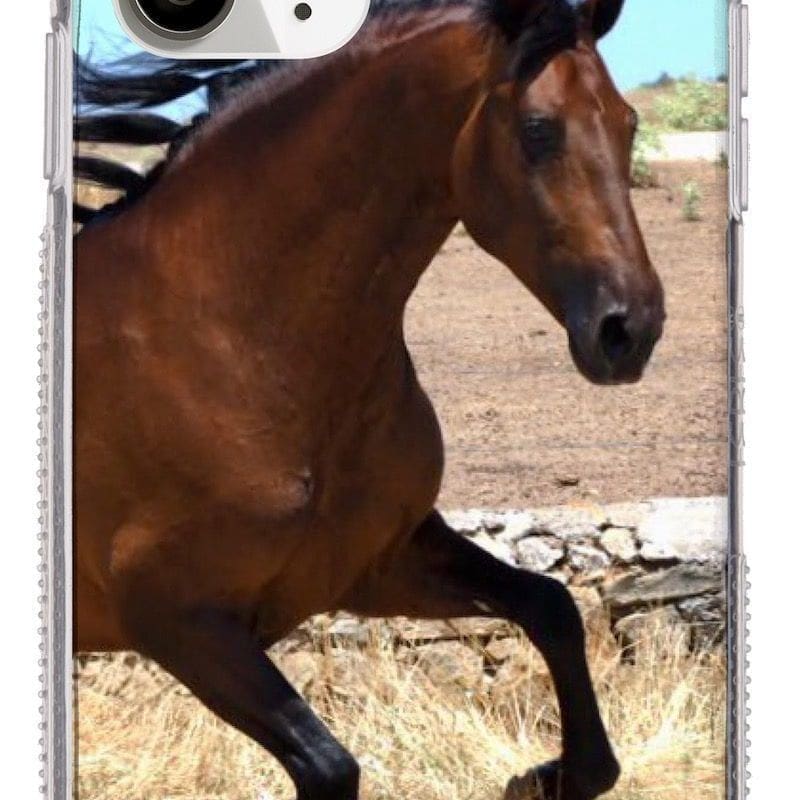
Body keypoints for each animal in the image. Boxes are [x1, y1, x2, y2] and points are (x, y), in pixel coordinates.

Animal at [74, 1, 665, 798]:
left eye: (629, 123)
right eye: (539, 129)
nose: (630, 329)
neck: (231, 335)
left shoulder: (376, 562)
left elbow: (552, 606)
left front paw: (544, 774)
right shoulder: (176, 618)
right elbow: (328, 765)